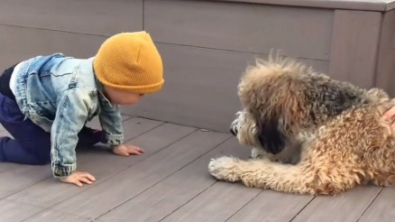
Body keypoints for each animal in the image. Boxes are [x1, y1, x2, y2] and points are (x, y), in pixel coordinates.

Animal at [209, 54, 395, 195]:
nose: (232, 129)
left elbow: (267, 170)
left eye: (250, 109)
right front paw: (264, 154)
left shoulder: (314, 174)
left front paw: (226, 165)